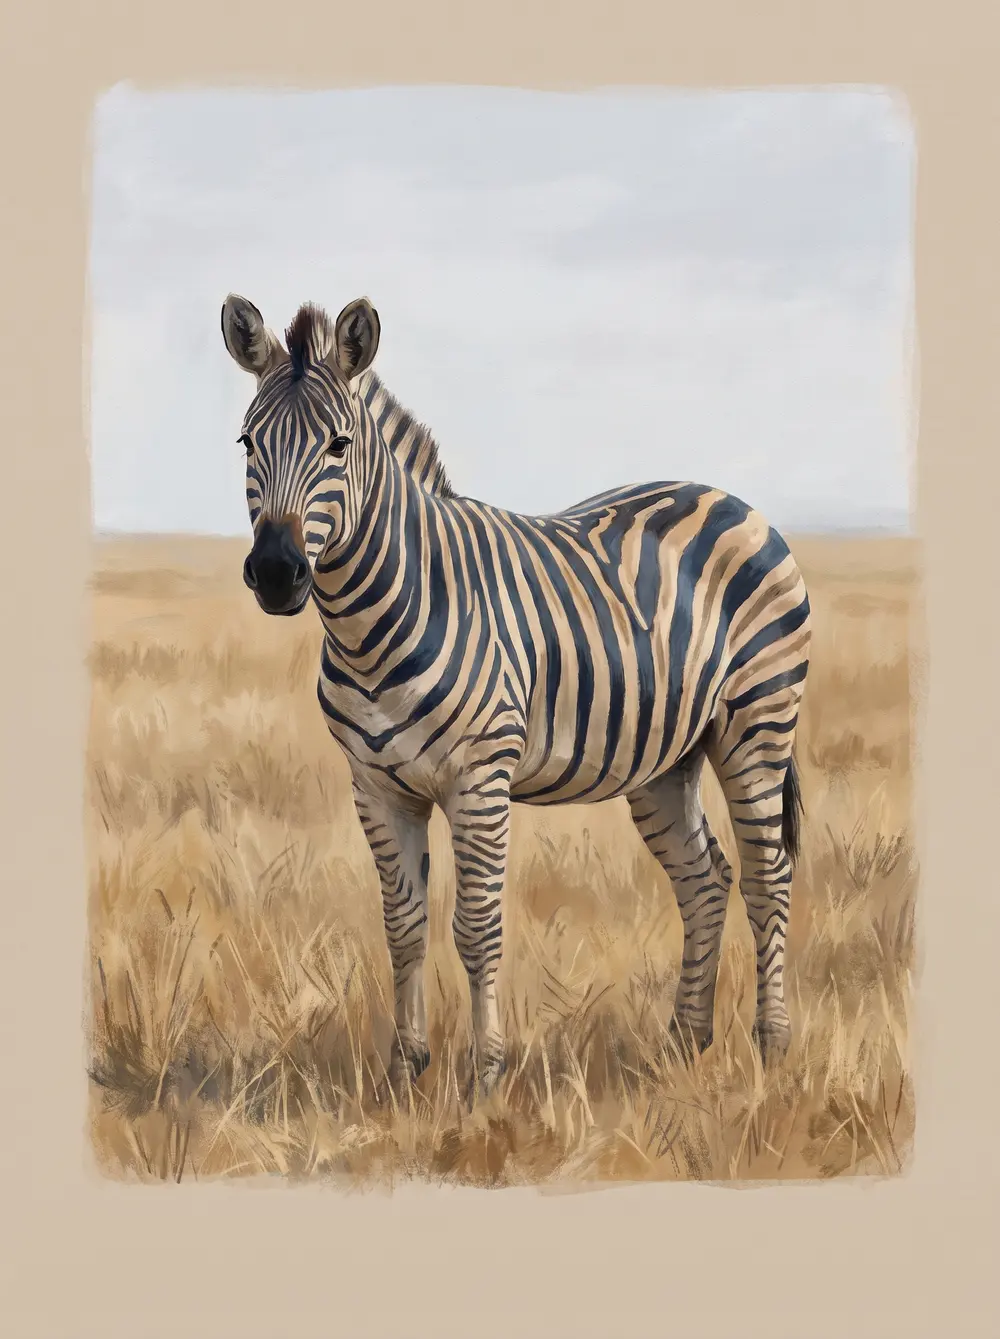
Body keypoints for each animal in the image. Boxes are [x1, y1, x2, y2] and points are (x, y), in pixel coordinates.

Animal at [221, 292, 812, 1104]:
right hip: (667, 758)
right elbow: (402, 925)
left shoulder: (480, 778)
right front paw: (403, 1074)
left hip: (758, 723)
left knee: (767, 877)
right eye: (247, 443)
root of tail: (734, 500)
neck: (373, 621)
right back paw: (683, 1044)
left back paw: (773, 1048)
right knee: (705, 878)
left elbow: (477, 927)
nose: (277, 572)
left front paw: (483, 1079)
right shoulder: (376, 786)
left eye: (339, 447)